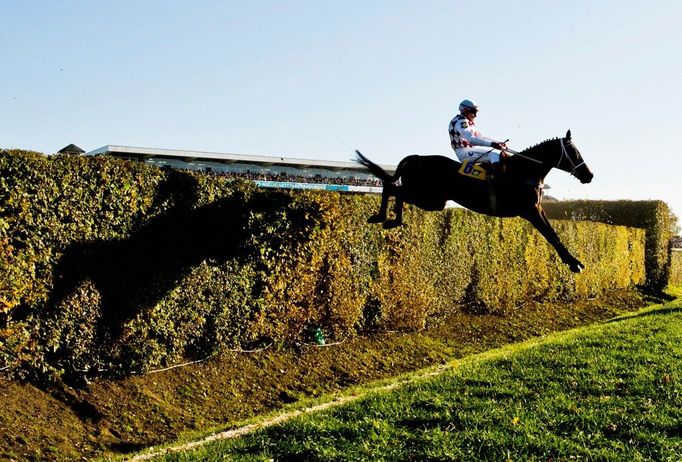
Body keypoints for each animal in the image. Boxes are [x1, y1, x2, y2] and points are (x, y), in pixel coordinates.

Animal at [354, 130, 592, 272]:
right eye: (574, 152)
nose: (589, 175)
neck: (524, 171)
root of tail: (416, 158)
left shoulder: (538, 209)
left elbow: (554, 233)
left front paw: (575, 261)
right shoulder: (529, 211)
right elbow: (551, 236)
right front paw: (574, 264)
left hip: (432, 200)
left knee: (393, 188)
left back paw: (384, 218)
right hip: (428, 197)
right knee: (395, 189)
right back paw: (388, 219)